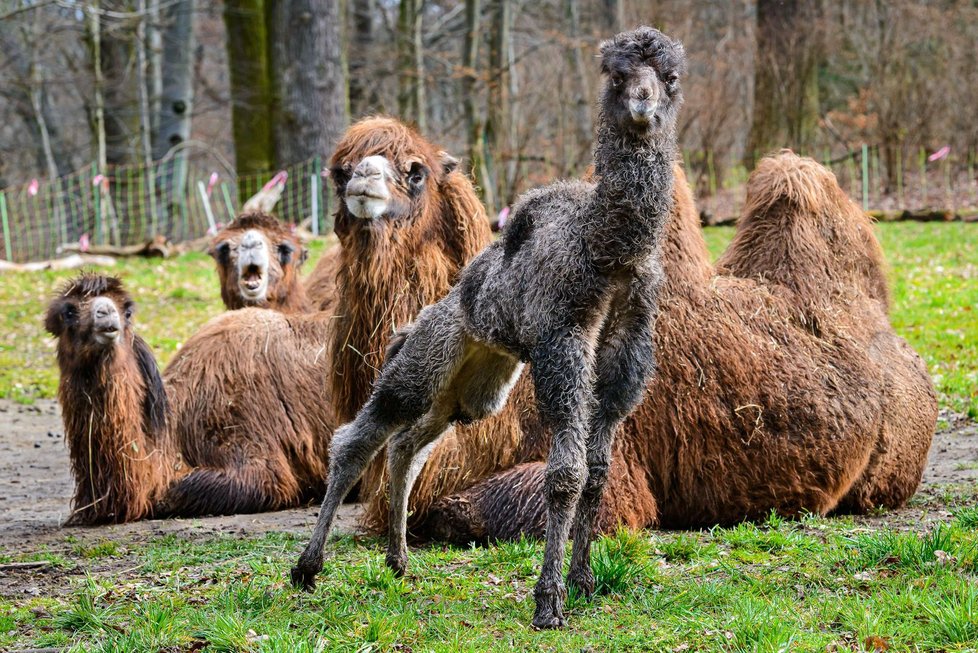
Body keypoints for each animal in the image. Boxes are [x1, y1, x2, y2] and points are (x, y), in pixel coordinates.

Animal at [290, 28, 688, 628]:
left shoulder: (626, 351)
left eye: (669, 78)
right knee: (359, 438)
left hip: (474, 386)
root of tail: (417, 323)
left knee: (408, 444)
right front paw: (549, 602)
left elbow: (598, 471)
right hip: (423, 363)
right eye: (618, 76)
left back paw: (399, 561)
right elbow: (566, 474)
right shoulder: (562, 340)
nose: (643, 102)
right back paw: (307, 569)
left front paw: (584, 580)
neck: (605, 248)